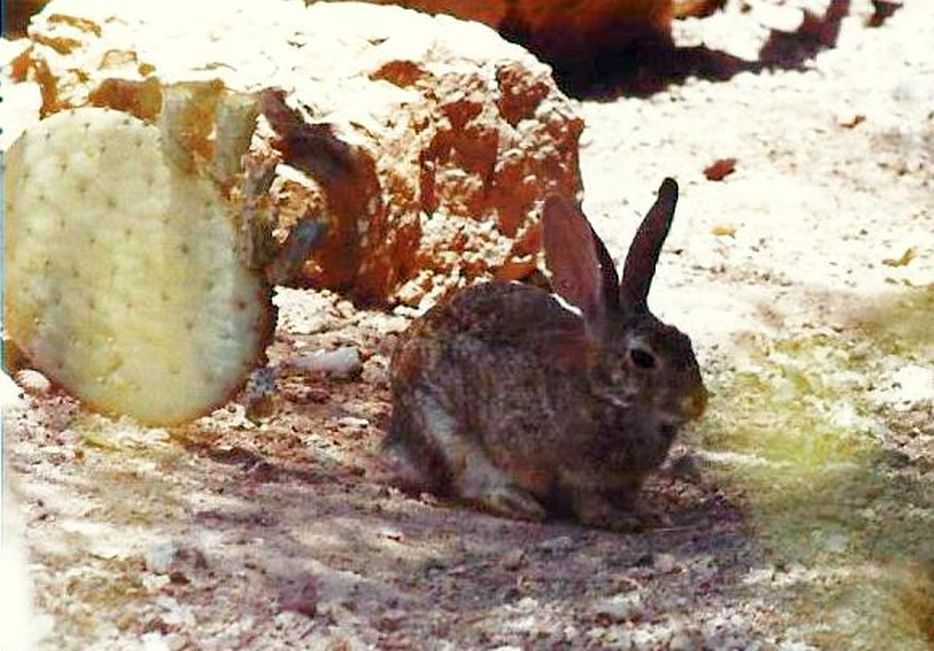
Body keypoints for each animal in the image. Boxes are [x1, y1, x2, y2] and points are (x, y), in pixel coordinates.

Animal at [386, 178, 708, 528]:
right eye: (642, 358)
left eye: (685, 340)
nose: (698, 402)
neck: (602, 392)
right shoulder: (572, 471)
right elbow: (587, 501)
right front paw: (617, 519)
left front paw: (651, 514)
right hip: (446, 431)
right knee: (470, 479)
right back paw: (519, 503)